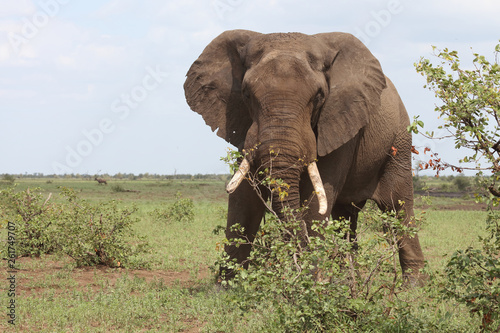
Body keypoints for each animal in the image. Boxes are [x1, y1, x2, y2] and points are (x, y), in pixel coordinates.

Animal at [184, 29, 426, 282]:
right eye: (246, 94)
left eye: (319, 96)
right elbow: (244, 199)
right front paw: (226, 285)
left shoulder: (342, 120)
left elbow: (317, 197)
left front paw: (311, 283)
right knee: (345, 215)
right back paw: (350, 281)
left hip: (398, 142)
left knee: (398, 207)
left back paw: (413, 286)